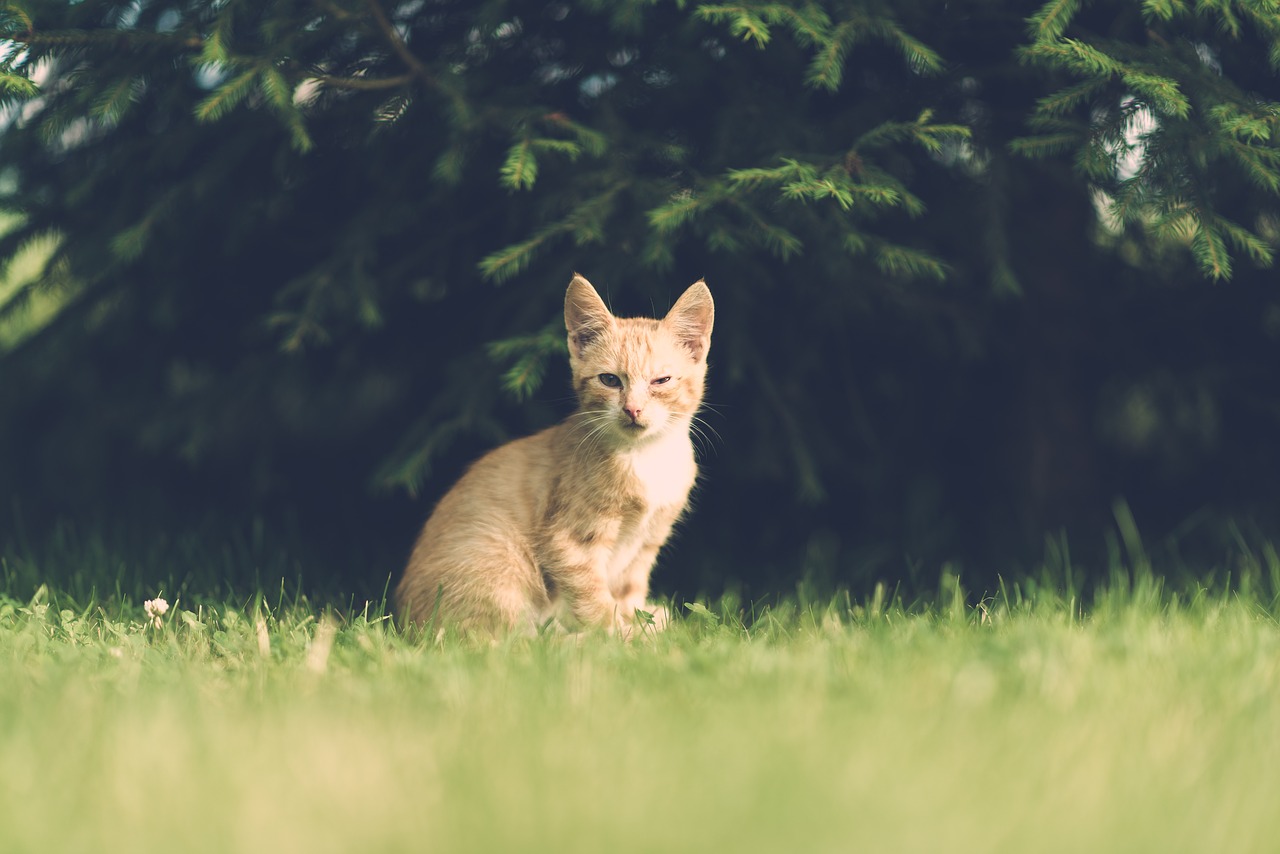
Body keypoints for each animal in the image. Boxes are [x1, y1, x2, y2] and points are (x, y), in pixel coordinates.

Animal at [394, 273, 716, 635]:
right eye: (609, 380)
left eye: (661, 380)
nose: (632, 409)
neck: (645, 456)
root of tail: (407, 621)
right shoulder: (569, 543)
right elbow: (595, 603)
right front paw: (621, 636)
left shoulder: (647, 543)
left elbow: (630, 591)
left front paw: (637, 621)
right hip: (498, 564)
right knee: (508, 640)